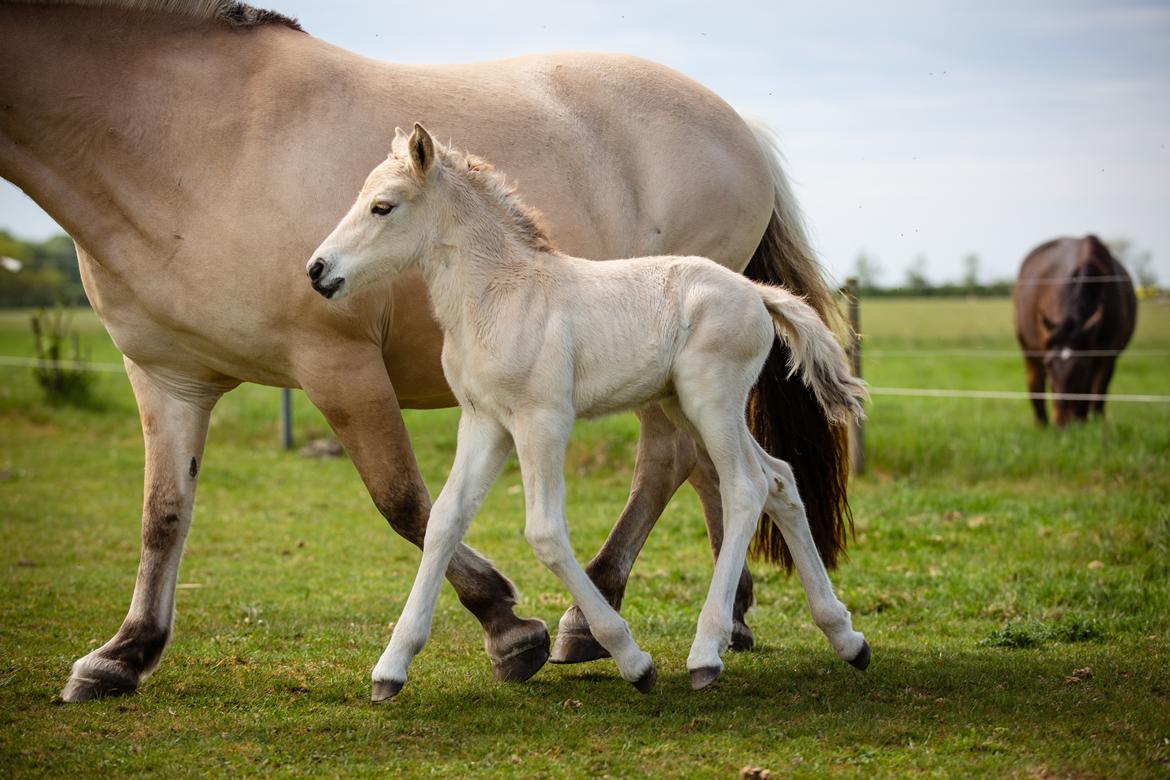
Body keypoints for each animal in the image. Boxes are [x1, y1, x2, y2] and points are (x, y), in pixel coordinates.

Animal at [308, 123, 870, 701]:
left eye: (382, 206)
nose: (317, 270)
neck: (499, 296)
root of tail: (756, 292)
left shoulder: (542, 420)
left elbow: (545, 532)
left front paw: (630, 658)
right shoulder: (484, 421)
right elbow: (444, 521)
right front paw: (390, 668)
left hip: (711, 401)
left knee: (746, 487)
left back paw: (706, 653)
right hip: (688, 406)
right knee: (779, 479)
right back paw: (847, 638)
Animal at [1010, 236, 1137, 428]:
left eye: (1082, 367)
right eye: (1049, 364)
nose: (1061, 422)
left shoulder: (1106, 357)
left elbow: (1096, 394)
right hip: (1029, 351)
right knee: (1035, 384)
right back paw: (1041, 424)